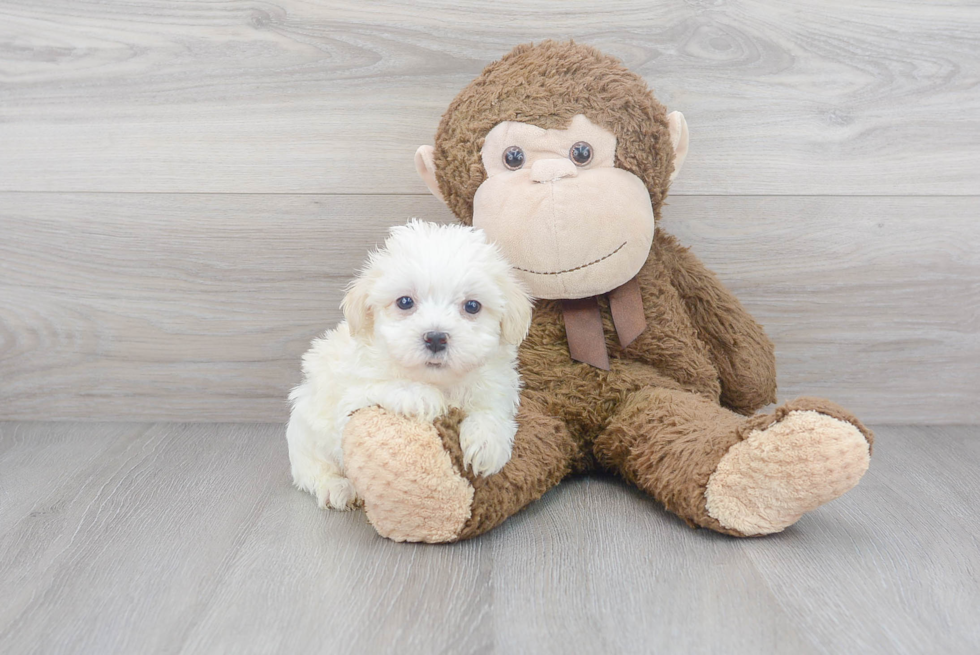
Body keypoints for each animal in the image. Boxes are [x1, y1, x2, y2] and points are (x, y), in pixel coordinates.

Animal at [284, 220, 536, 512]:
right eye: (405, 302)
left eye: (472, 306)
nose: (436, 337)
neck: (440, 380)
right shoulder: (353, 395)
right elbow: (387, 386)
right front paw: (425, 397)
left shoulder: (496, 387)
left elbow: (492, 412)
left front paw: (487, 443)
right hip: (305, 430)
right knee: (313, 470)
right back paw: (337, 488)